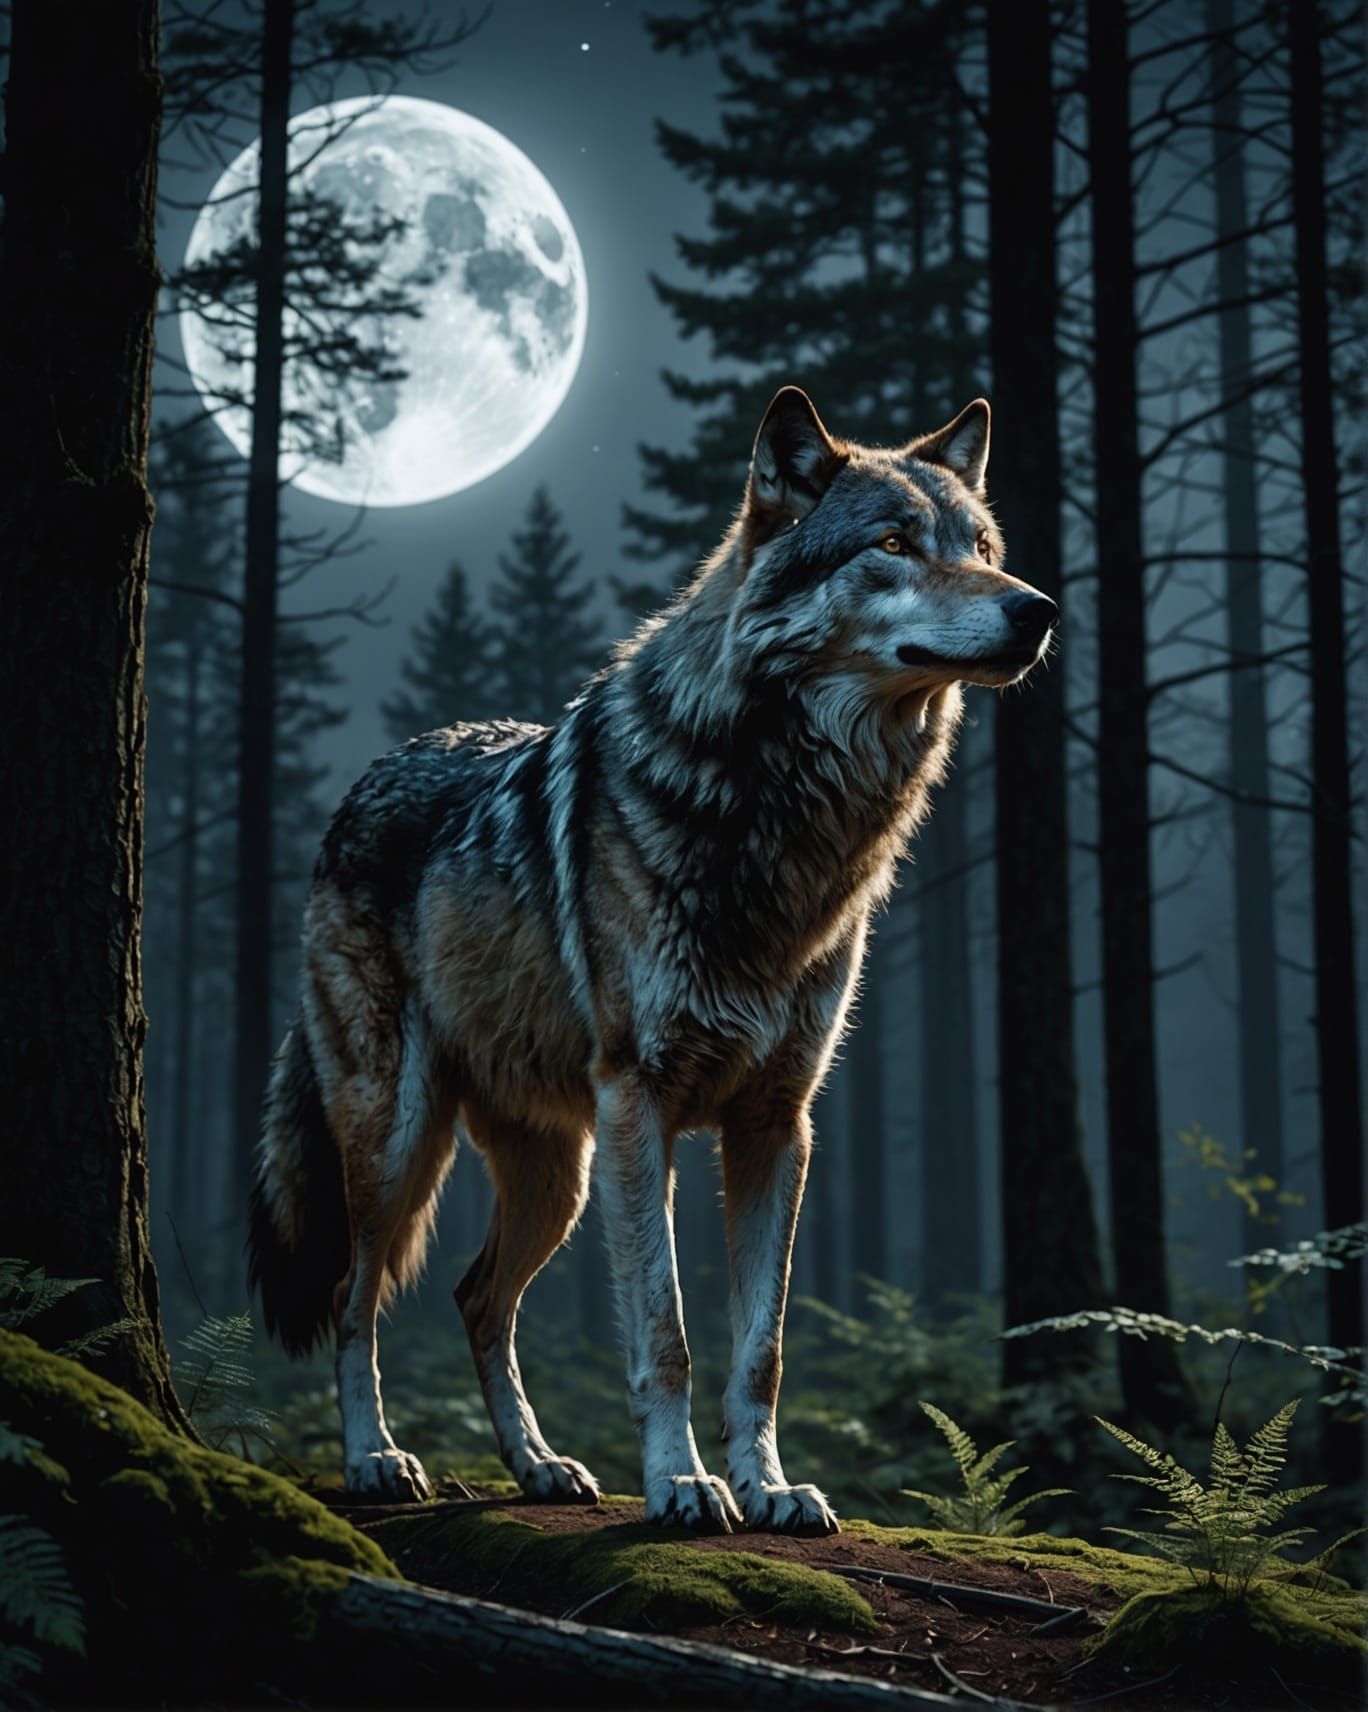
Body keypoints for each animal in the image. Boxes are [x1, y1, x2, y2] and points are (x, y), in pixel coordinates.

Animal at [248, 387, 1056, 1535]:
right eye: (895, 545)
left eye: (981, 547)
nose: (1038, 608)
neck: (784, 820)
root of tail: (364, 782)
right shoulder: (644, 1103)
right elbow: (667, 1334)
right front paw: (682, 1482)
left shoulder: (778, 1123)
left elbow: (760, 1348)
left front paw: (770, 1487)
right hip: (406, 1142)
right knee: (355, 1300)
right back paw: (375, 1458)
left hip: (560, 1173)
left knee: (476, 1297)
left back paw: (539, 1464)